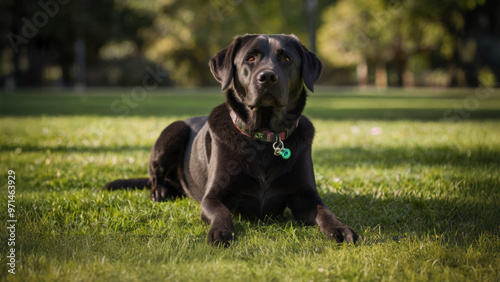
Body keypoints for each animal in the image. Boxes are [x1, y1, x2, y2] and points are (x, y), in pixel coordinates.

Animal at [104, 34, 360, 246]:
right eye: (250, 58)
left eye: (287, 58)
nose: (268, 77)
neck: (264, 138)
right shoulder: (213, 197)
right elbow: (221, 212)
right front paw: (221, 232)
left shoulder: (305, 196)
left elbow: (324, 212)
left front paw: (341, 228)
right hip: (172, 131)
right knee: (155, 175)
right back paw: (159, 191)